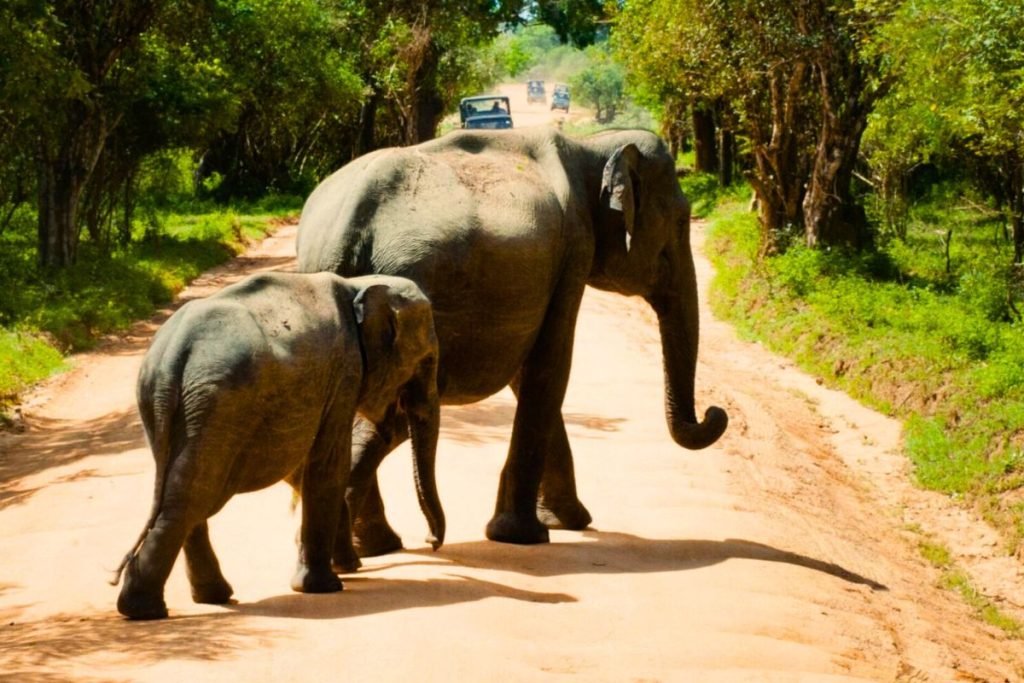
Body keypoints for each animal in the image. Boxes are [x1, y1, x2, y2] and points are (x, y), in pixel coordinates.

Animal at [110, 271, 444, 620]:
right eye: (427, 360)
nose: (431, 541)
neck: (358, 285)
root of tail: (174, 354)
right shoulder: (345, 372)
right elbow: (327, 464)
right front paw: (324, 586)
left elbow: (305, 467)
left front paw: (345, 567)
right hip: (219, 405)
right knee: (193, 495)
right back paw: (146, 609)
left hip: (170, 404)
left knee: (185, 490)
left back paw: (201, 598)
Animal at [295, 126, 728, 553]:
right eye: (682, 221)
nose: (715, 412)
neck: (592, 145)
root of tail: (342, 231)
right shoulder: (573, 249)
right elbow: (551, 365)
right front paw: (524, 534)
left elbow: (529, 372)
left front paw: (565, 521)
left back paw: (373, 546)